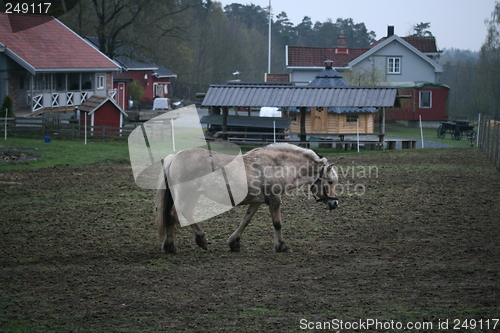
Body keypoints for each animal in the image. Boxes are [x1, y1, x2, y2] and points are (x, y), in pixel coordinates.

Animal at [154, 141, 338, 253]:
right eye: (329, 181)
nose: (335, 203)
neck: (277, 165)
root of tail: (174, 157)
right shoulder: (274, 200)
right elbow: (277, 224)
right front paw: (282, 246)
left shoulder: (257, 202)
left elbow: (245, 221)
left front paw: (234, 243)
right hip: (186, 194)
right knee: (172, 215)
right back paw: (171, 246)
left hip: (193, 195)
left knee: (185, 214)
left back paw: (200, 240)